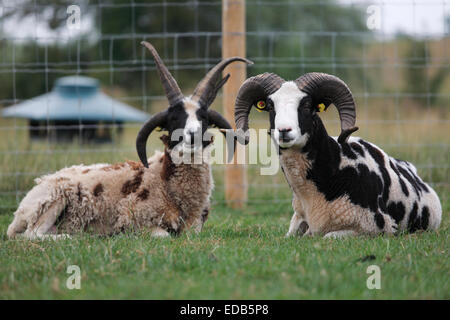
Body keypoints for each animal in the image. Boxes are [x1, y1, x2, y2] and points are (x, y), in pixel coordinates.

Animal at [7, 41, 251, 239]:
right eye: (174, 119)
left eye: (204, 118)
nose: (193, 135)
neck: (164, 182)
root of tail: (19, 211)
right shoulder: (133, 218)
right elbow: (162, 235)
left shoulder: (194, 226)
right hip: (52, 199)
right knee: (31, 234)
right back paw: (73, 237)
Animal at [234, 72, 442, 238]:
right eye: (270, 106)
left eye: (307, 105)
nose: (284, 131)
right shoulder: (296, 223)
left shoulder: (378, 227)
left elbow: (325, 236)